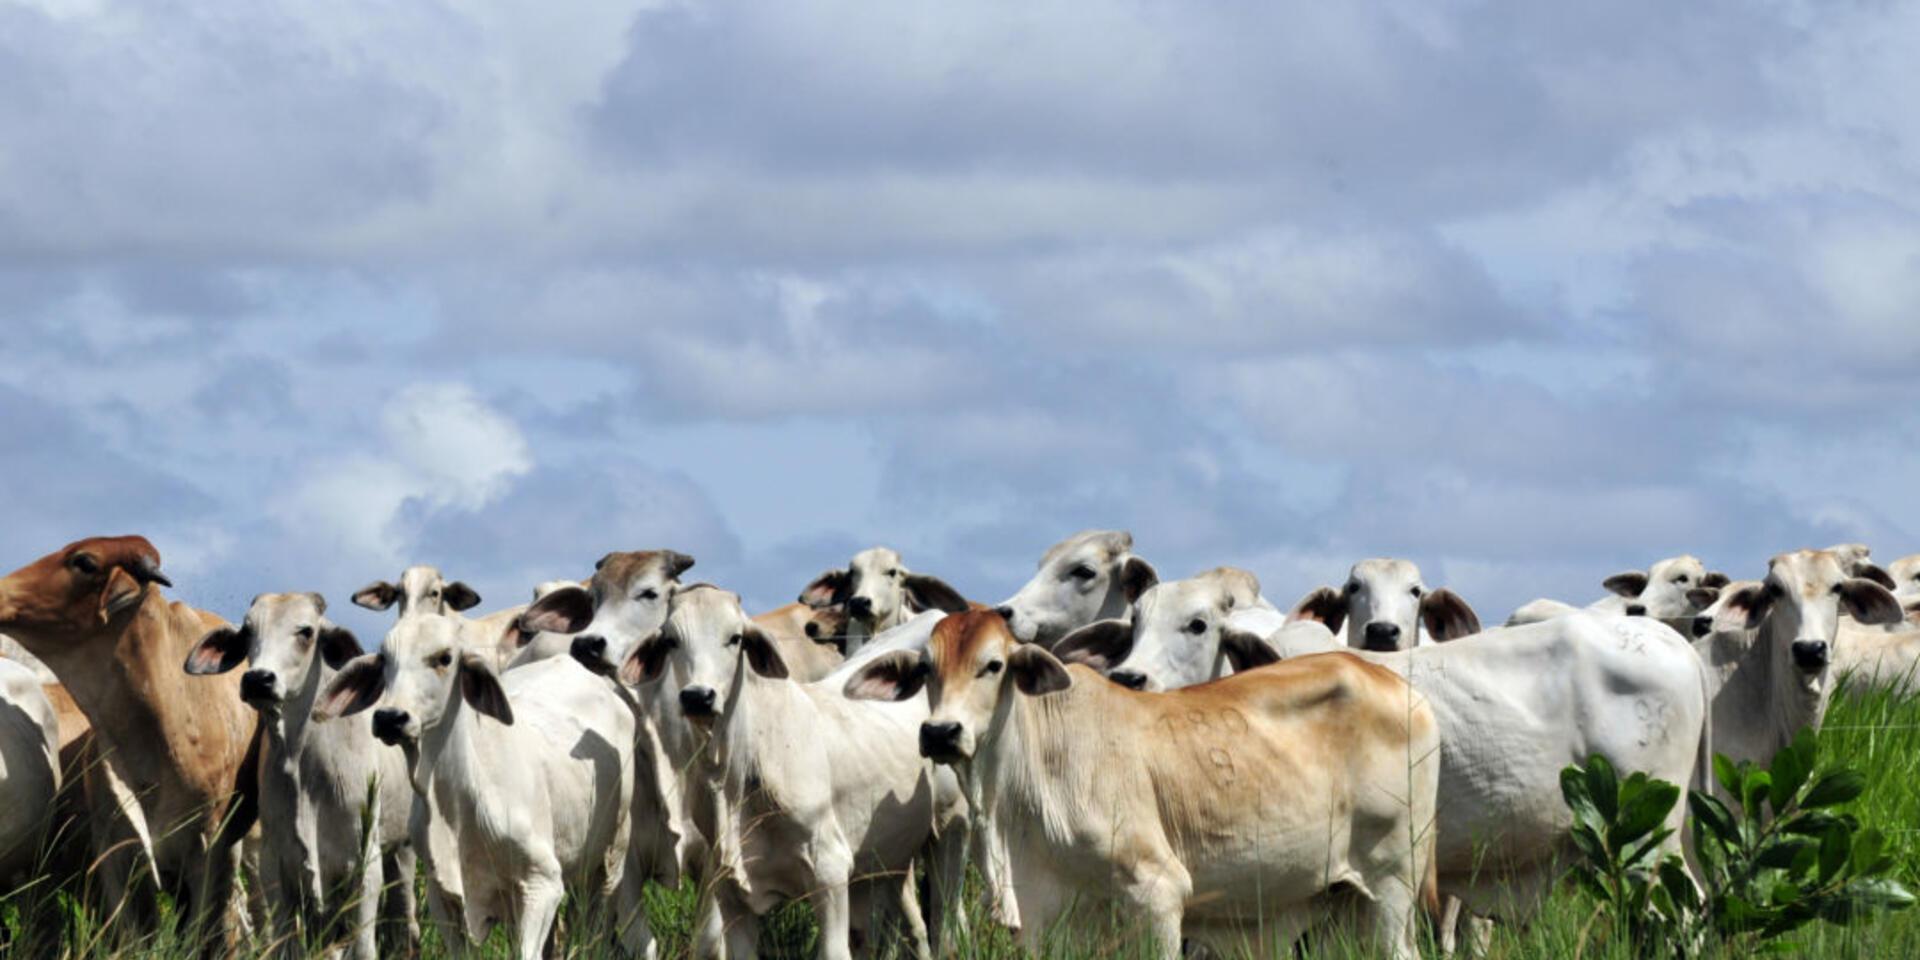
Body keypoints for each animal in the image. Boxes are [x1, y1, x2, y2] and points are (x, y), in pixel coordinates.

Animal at [183, 593, 415, 960]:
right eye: (248, 631)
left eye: (306, 632)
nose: (258, 679)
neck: (300, 762)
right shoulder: (277, 866)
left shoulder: (365, 864)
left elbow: (364, 947)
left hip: (403, 851)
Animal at [317, 615, 634, 960]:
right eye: (385, 659)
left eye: (445, 658)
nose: (390, 718)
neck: (456, 807)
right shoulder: (443, 896)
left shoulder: (543, 882)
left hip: (610, 861)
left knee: (596, 924)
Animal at [844, 610, 1440, 960]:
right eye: (926, 669)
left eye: (993, 665)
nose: (941, 732)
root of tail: (1401, 688)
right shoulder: (1052, 921)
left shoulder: (1159, 896)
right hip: (1342, 901)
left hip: (1391, 884)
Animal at [1058, 604, 1711, 954]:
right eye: (1134, 621)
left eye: (1198, 625)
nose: (1130, 676)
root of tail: (1674, 642)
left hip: (1650, 841)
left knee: (1684, 912)